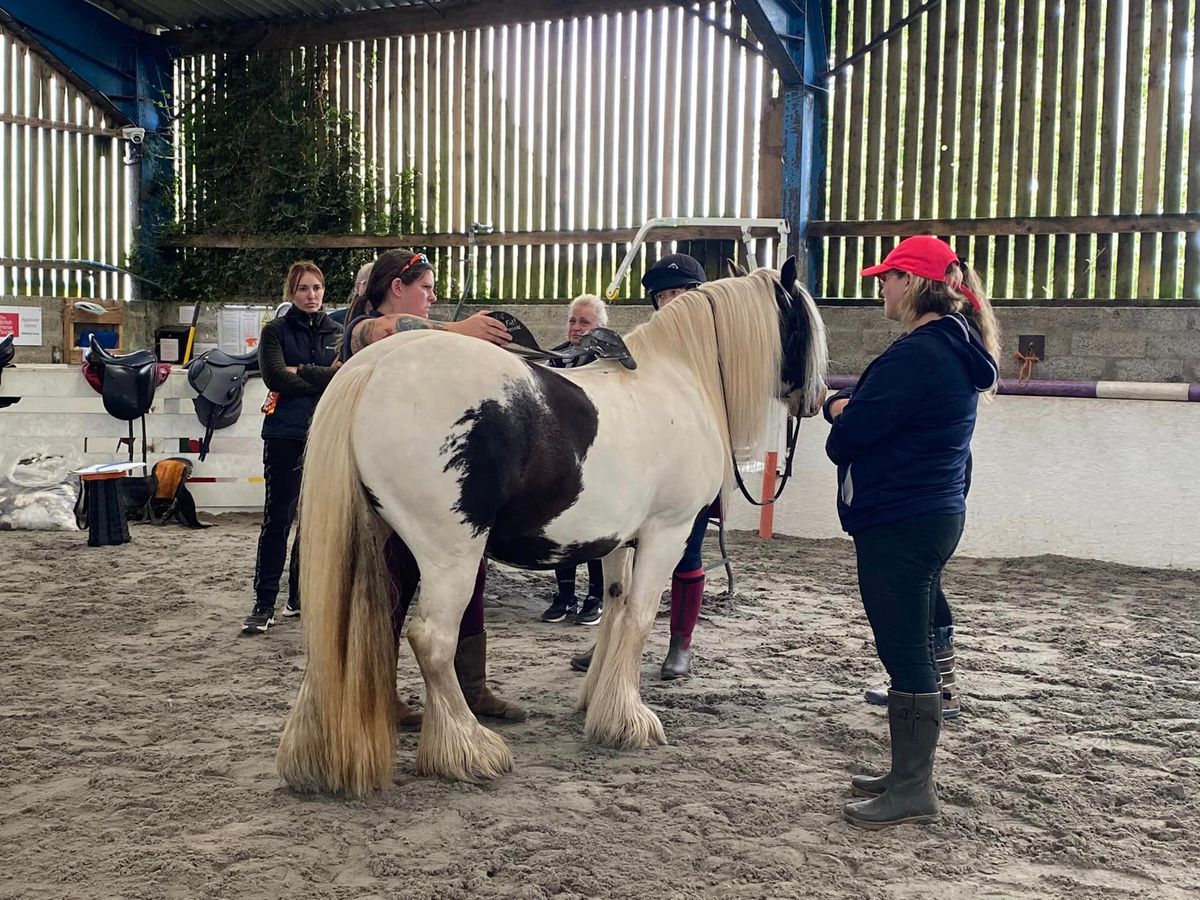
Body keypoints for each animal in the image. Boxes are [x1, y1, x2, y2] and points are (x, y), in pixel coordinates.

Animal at [277, 260, 830, 796]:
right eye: (802, 321)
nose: (819, 397)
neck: (681, 377)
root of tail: (374, 367)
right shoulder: (665, 534)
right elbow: (638, 619)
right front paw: (630, 722)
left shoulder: (617, 542)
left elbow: (613, 609)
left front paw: (599, 704)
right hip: (449, 555)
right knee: (430, 639)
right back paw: (469, 749)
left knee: (342, 635)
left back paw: (314, 757)